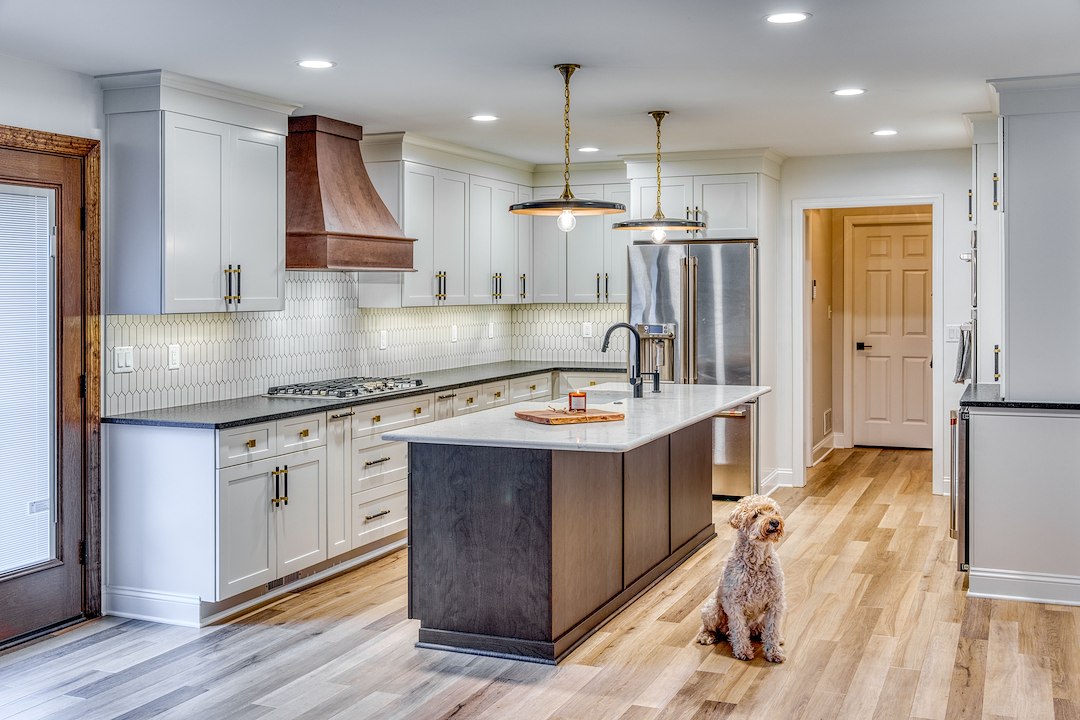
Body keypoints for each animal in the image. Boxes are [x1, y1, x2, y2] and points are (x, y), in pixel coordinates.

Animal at [695, 496, 790, 664]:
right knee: (708, 627)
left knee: (762, 630)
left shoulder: (776, 602)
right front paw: (743, 651)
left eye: (774, 511)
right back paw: (707, 636)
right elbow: (739, 629)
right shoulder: (734, 602)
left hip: (759, 620)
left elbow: (772, 630)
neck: (757, 560)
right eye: (755, 515)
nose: (774, 522)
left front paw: (773, 652)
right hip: (712, 610)